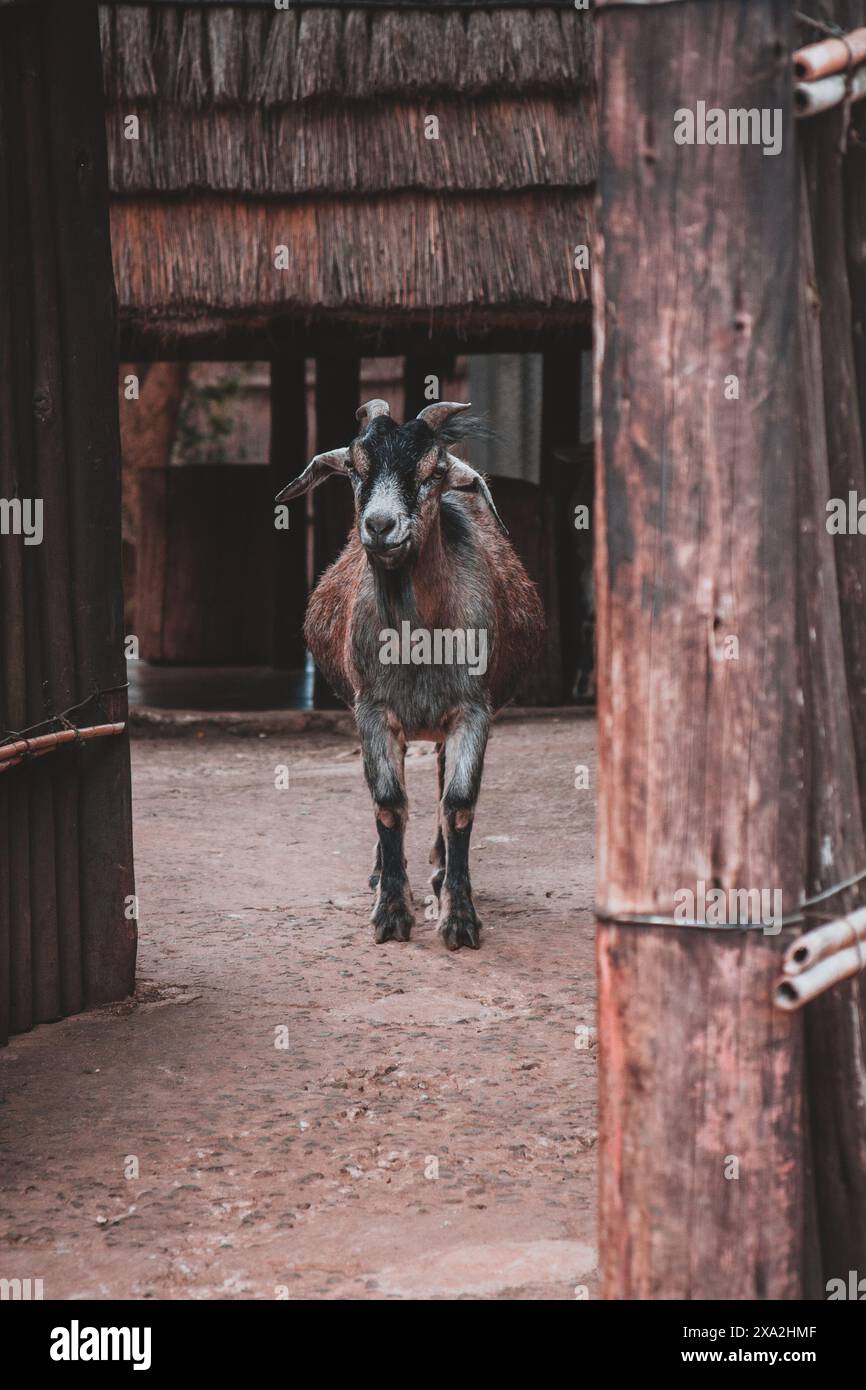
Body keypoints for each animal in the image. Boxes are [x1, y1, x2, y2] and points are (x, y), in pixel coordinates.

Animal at [278, 397, 544, 950]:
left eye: (434, 471)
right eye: (354, 468)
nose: (381, 526)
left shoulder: (473, 709)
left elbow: (458, 803)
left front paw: (459, 919)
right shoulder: (372, 710)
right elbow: (388, 802)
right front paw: (391, 913)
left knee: (442, 780)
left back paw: (440, 873)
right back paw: (383, 872)